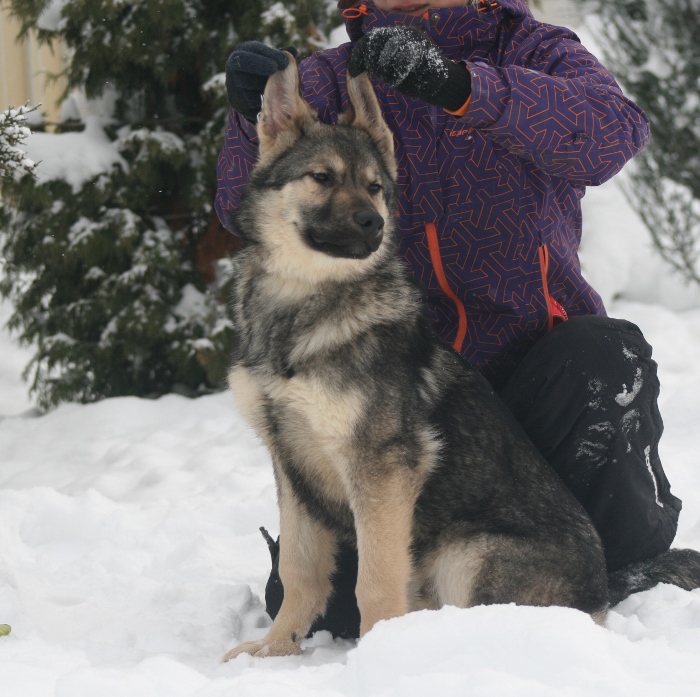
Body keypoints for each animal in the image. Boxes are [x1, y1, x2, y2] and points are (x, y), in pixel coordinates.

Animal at [221, 55, 696, 656]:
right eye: (321, 177)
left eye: (375, 188)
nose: (374, 224)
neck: (304, 305)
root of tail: (603, 588)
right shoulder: (291, 466)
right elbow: (300, 574)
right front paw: (272, 652)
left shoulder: (381, 471)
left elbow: (374, 581)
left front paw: (380, 656)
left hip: (468, 553)